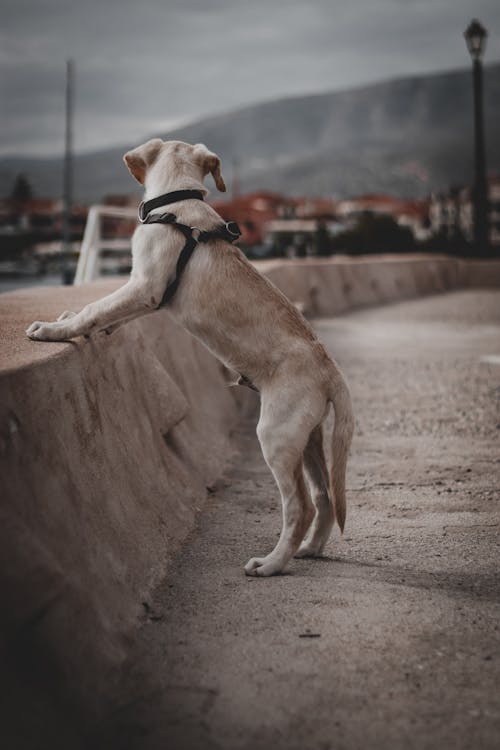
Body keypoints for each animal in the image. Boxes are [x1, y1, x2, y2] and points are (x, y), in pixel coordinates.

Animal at [27, 138, 354, 580]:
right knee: (323, 498)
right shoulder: (149, 296)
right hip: (310, 437)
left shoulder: (145, 285)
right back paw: (310, 550)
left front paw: (52, 329)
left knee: (299, 506)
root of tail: (329, 369)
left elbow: (97, 307)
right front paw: (74, 322)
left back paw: (270, 564)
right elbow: (109, 314)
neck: (178, 203)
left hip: (277, 434)